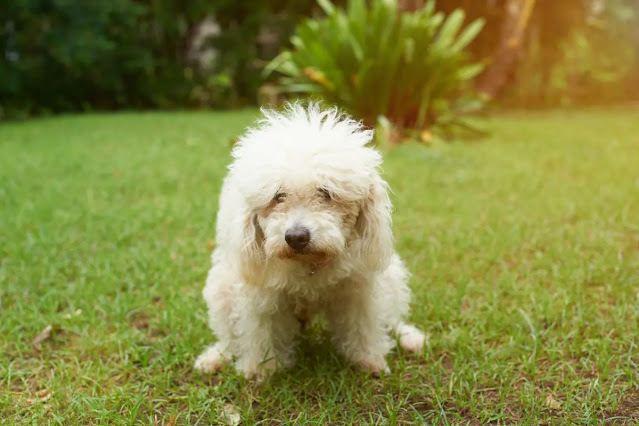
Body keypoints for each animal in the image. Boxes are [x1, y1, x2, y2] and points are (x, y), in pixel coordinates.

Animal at [195, 103, 424, 380]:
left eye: (326, 193)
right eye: (278, 196)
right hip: (221, 286)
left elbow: (363, 325)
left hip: (391, 276)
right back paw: (216, 357)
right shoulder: (260, 294)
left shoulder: (358, 288)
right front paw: (261, 369)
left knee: (391, 318)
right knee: (228, 337)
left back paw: (409, 337)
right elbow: (259, 331)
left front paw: (368, 359)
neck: (309, 265)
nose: (296, 237)